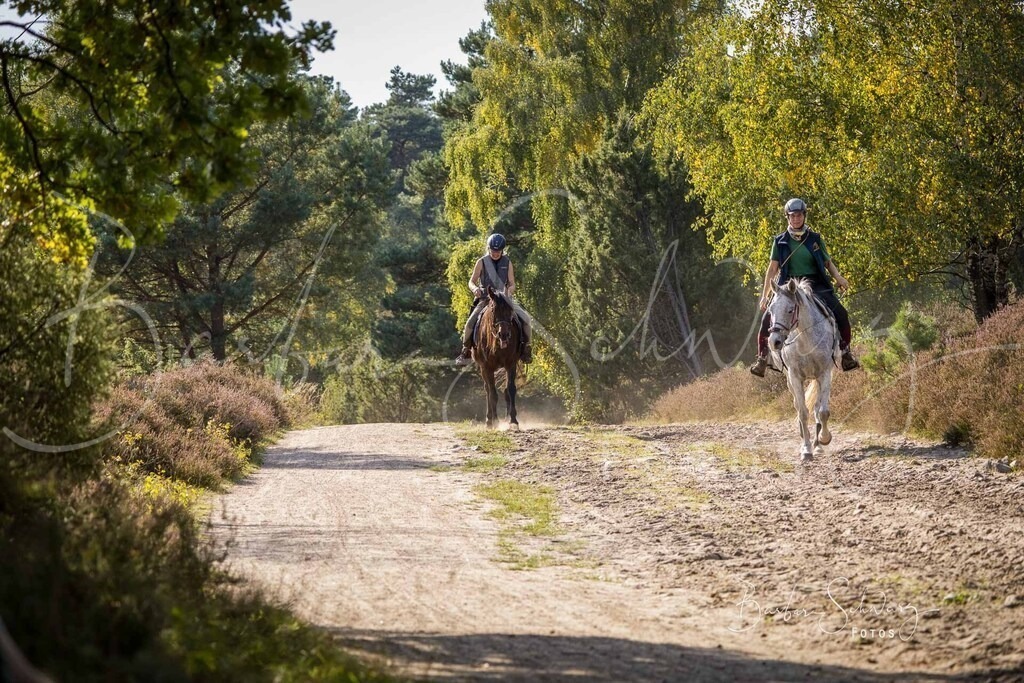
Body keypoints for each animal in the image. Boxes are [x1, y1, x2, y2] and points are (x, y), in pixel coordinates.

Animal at [472, 286, 524, 430]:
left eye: (510, 310)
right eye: (494, 310)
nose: (504, 334)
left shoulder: (511, 364)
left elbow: (510, 390)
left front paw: (513, 420)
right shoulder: (487, 367)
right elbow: (493, 393)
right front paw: (494, 421)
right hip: (482, 368)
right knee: (487, 390)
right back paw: (489, 420)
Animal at [766, 278, 842, 461]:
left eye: (790, 310)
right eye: (770, 310)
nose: (774, 341)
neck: (805, 339)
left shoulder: (825, 373)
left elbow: (822, 411)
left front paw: (824, 439)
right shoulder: (794, 376)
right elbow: (802, 412)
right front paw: (806, 449)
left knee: (816, 408)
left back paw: (818, 444)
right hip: (789, 379)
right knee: (798, 406)